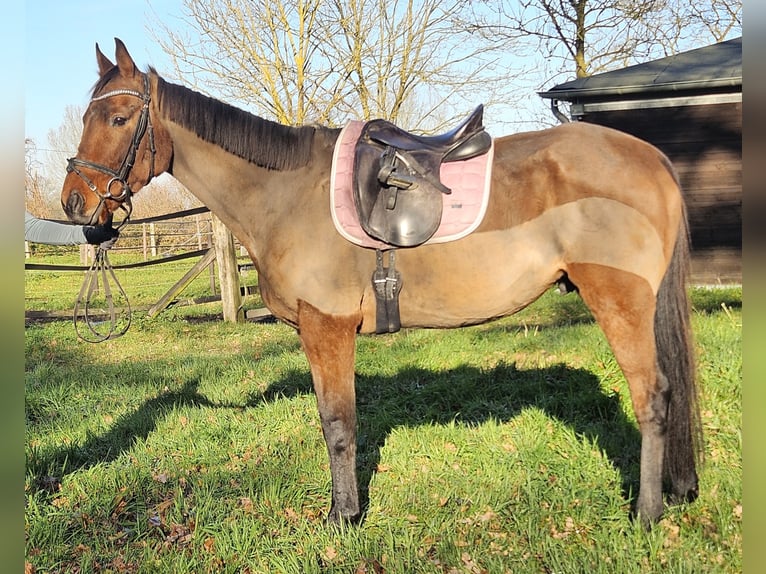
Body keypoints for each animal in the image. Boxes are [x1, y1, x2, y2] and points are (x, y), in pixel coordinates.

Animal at [64, 38, 704, 528]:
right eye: (87, 117)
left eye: (119, 119)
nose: (75, 204)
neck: (284, 193)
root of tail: (651, 158)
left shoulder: (326, 327)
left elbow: (337, 425)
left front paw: (342, 517)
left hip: (620, 301)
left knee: (653, 397)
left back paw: (647, 515)